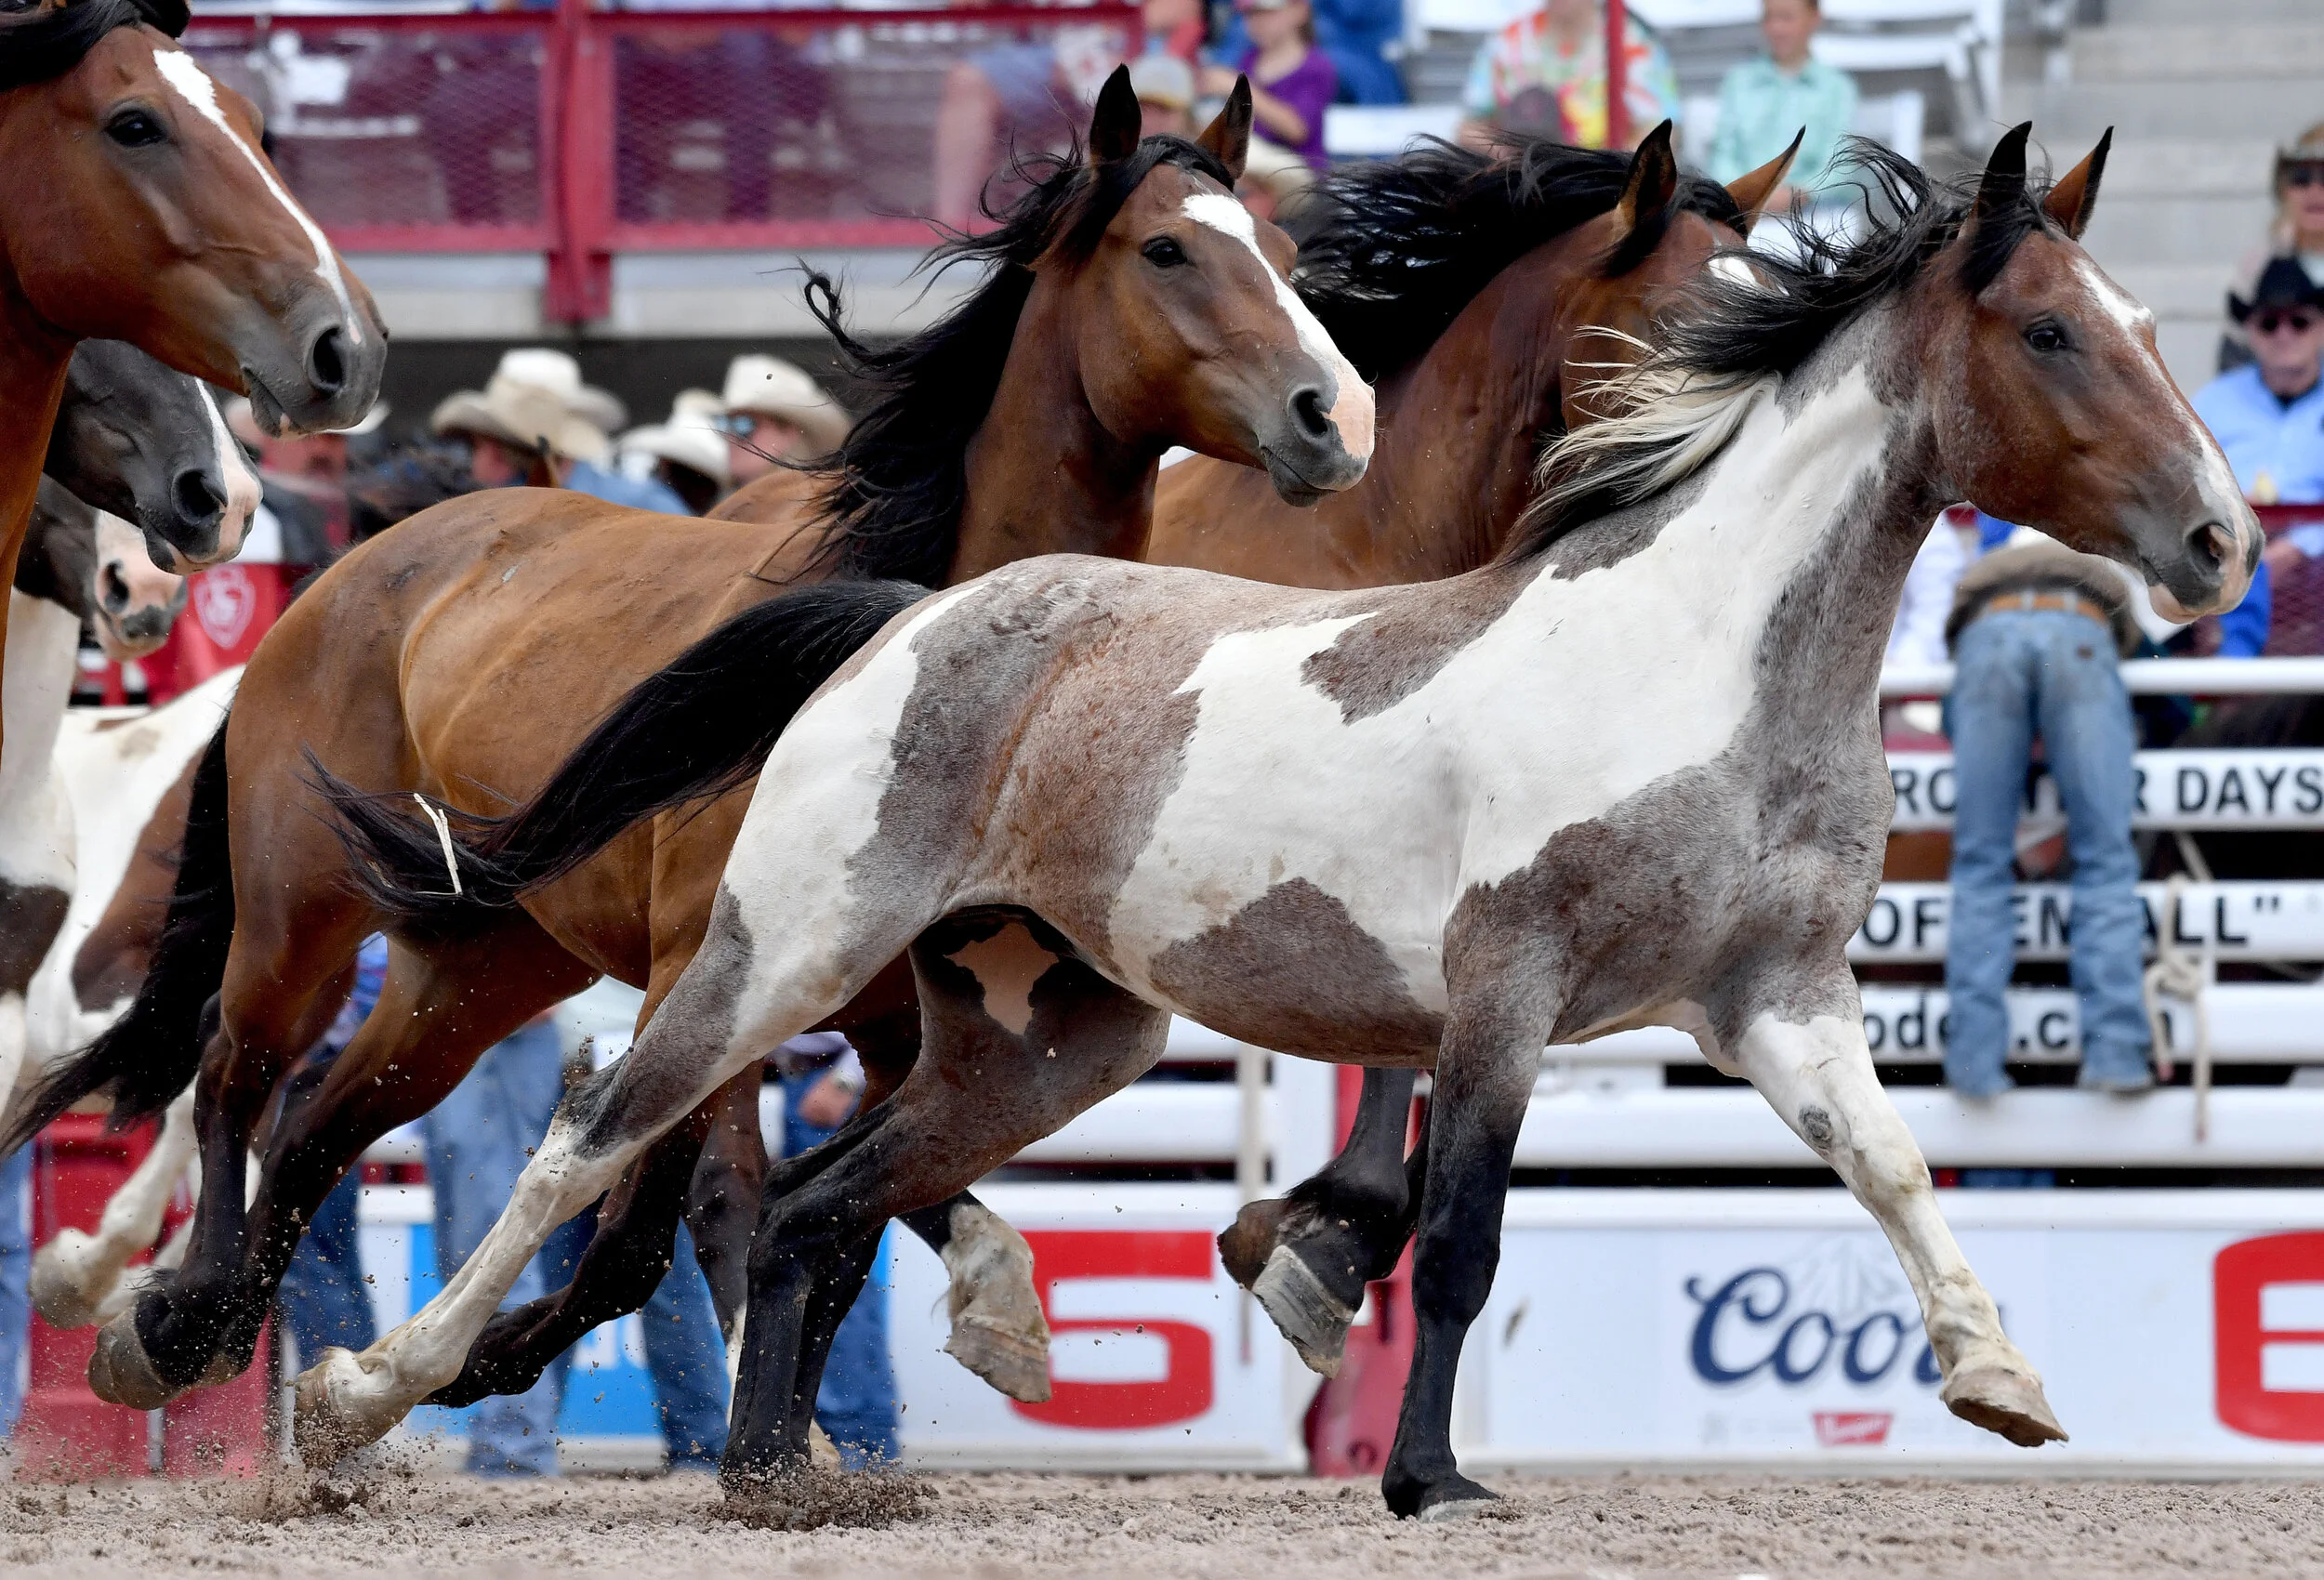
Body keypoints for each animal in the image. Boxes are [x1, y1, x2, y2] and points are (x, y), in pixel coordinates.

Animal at [15, 122, 1774, 1431]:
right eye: (1170, 249)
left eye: (1283, 256)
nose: (1322, 413)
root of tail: (363, 566)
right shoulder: (768, 965)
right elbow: (721, 1199)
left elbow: (793, 1199)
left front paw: (1278, 1248)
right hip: (308, 913)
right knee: (233, 1084)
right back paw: (154, 1314)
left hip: (483, 957)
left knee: (324, 1123)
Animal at [301, 126, 2258, 1517]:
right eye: (2053, 331)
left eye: (2154, 328)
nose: (2225, 541)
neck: (1703, 649)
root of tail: (910, 615)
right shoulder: (1504, 994)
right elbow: (1452, 1237)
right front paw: (1425, 1474)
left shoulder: (1776, 1001)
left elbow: (1897, 1165)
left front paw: (2002, 1383)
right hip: (784, 947)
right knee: (597, 1138)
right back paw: (353, 1397)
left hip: (1048, 1036)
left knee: (813, 1201)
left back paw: (784, 1477)